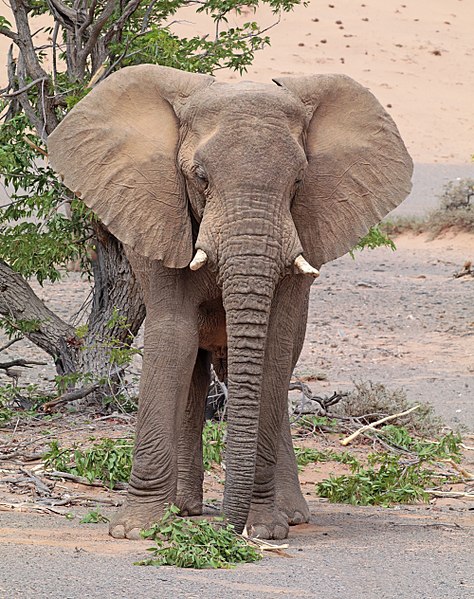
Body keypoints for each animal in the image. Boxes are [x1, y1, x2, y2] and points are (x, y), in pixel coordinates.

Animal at [46, 64, 412, 540]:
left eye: (298, 181)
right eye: (200, 176)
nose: (228, 528)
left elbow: (274, 345)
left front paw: (265, 530)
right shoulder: (159, 211)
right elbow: (173, 336)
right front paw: (135, 530)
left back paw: (289, 514)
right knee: (195, 370)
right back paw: (184, 508)